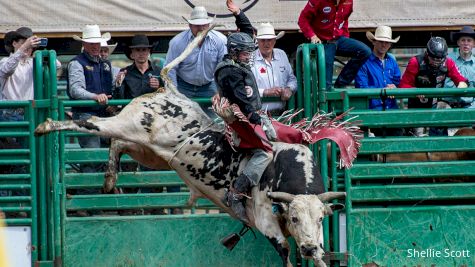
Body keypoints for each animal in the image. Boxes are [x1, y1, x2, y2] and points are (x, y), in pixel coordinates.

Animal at [34, 26, 360, 267]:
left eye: (321, 218)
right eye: (293, 217)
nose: (309, 247)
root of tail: (168, 90)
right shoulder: (266, 221)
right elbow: (284, 252)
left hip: (150, 152)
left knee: (117, 143)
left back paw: (110, 180)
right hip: (131, 123)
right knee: (91, 123)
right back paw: (45, 126)